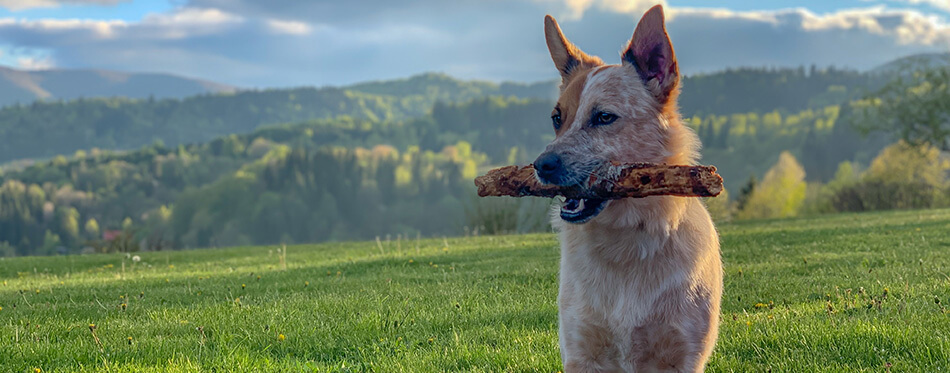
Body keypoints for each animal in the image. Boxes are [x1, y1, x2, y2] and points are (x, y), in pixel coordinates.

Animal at [536, 4, 720, 370]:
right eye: (557, 118)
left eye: (604, 117)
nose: (541, 165)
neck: (627, 241)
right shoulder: (580, 351)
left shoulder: (684, 355)